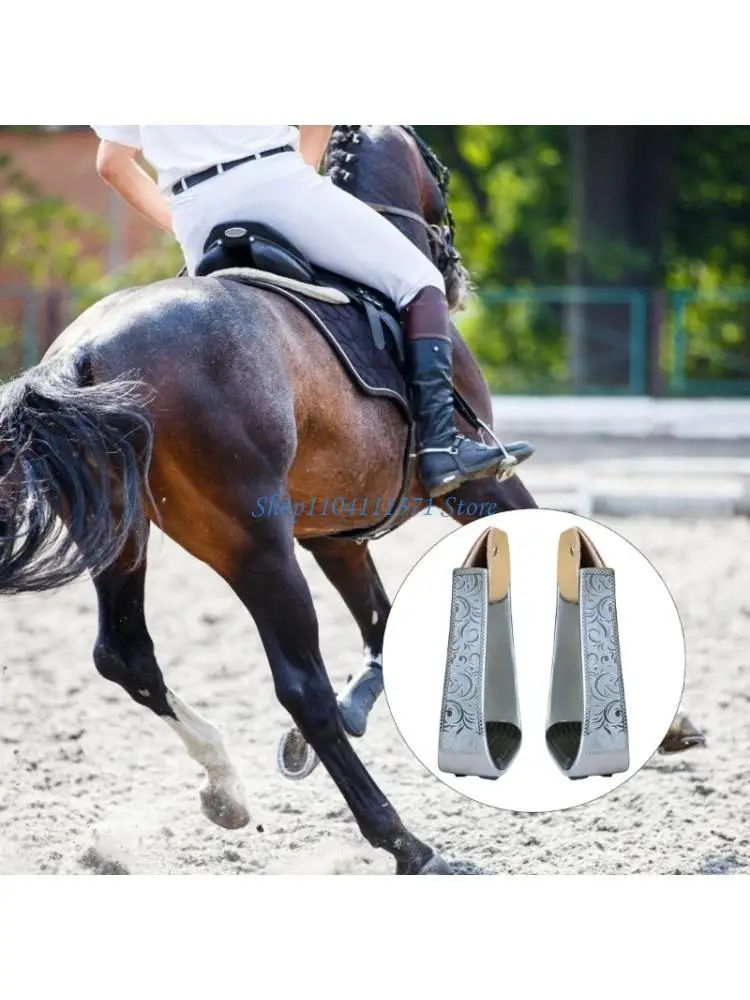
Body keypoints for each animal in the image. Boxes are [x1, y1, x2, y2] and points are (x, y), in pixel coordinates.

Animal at [0, 125, 703, 874]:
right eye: (439, 172)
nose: (454, 271)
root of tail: (85, 355)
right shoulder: (480, 483)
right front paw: (669, 724)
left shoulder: (331, 533)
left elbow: (383, 625)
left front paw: (353, 710)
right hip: (254, 546)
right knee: (297, 685)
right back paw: (404, 841)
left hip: (124, 536)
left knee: (127, 654)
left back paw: (226, 787)